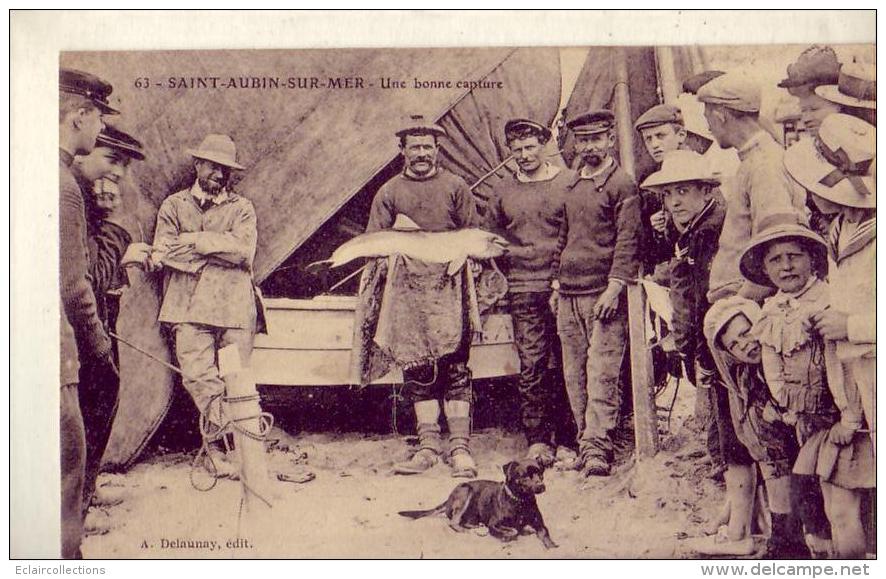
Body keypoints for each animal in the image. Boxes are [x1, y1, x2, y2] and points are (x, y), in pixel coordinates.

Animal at [398, 460, 560, 552]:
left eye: (541, 473)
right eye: (525, 476)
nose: (541, 486)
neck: (520, 501)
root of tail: (448, 498)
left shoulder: (539, 524)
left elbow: (544, 532)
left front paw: (552, 546)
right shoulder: (494, 524)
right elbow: (512, 530)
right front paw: (508, 535)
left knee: (466, 521)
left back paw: (477, 527)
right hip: (466, 490)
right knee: (453, 521)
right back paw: (464, 530)